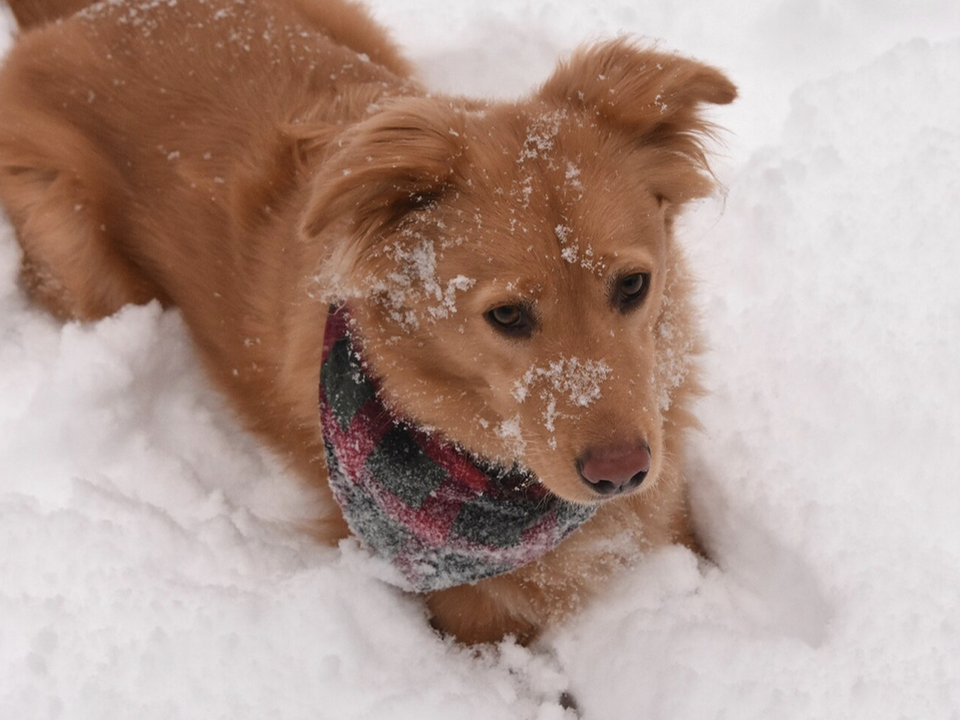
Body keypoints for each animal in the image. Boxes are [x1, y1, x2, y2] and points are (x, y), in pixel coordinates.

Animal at [0, 0, 736, 644]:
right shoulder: (464, 615)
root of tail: (81, 17)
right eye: (506, 315)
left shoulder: (669, 516)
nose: (622, 473)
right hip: (76, 246)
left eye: (633, 285)